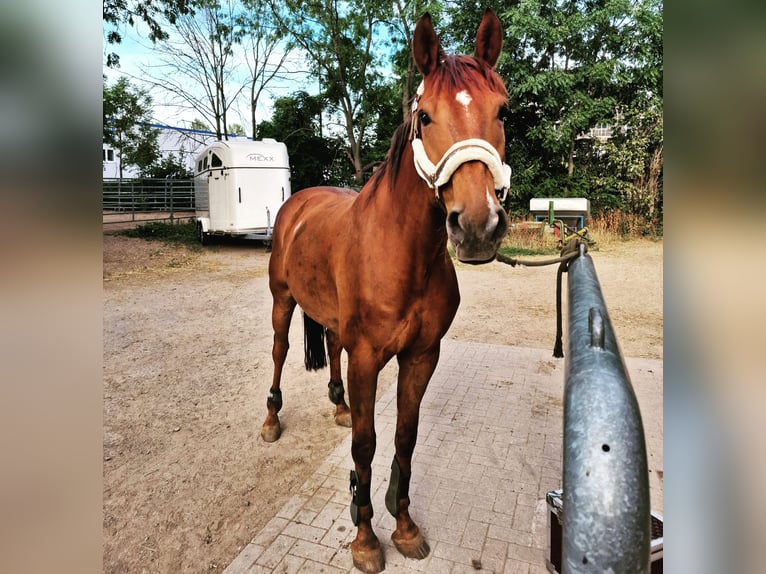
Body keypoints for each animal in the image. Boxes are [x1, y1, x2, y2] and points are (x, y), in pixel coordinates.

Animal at [262, 11, 510, 572]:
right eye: (426, 117)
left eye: (503, 110)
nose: (477, 226)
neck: (403, 252)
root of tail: (299, 202)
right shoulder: (368, 358)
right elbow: (366, 445)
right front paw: (364, 537)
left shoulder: (421, 355)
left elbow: (403, 438)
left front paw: (404, 526)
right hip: (282, 302)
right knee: (280, 352)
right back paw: (270, 419)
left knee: (331, 347)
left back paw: (337, 406)